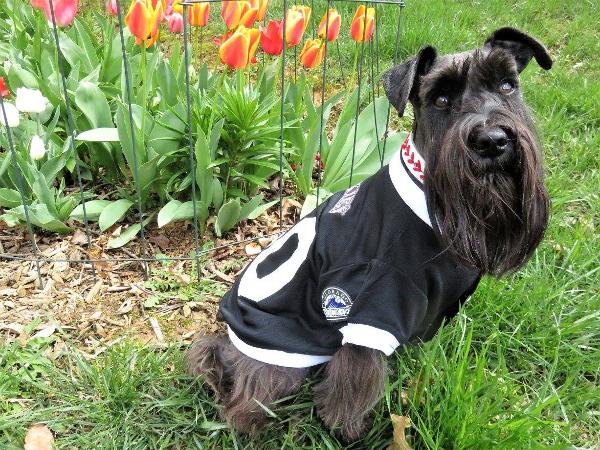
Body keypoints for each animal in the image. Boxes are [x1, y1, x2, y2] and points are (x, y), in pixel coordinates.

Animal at [188, 27, 552, 440]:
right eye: (441, 99)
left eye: (507, 85)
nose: (492, 140)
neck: (433, 199)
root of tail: (228, 348)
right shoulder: (374, 310)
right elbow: (354, 386)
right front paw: (347, 432)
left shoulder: (425, 316)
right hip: (280, 360)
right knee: (247, 401)